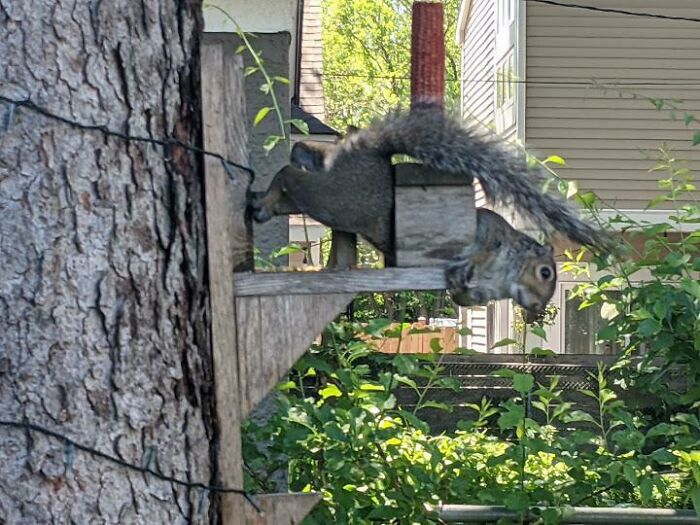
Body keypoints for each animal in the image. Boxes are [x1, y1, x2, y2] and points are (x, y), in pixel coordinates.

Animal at [251, 104, 605, 317]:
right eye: (545, 273)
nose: (536, 308)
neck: (504, 277)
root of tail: (368, 153)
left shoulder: (484, 294)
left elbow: (464, 299)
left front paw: (459, 283)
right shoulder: (488, 229)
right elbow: (481, 238)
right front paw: (468, 261)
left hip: (337, 198)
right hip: (341, 201)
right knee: (288, 174)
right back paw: (269, 195)